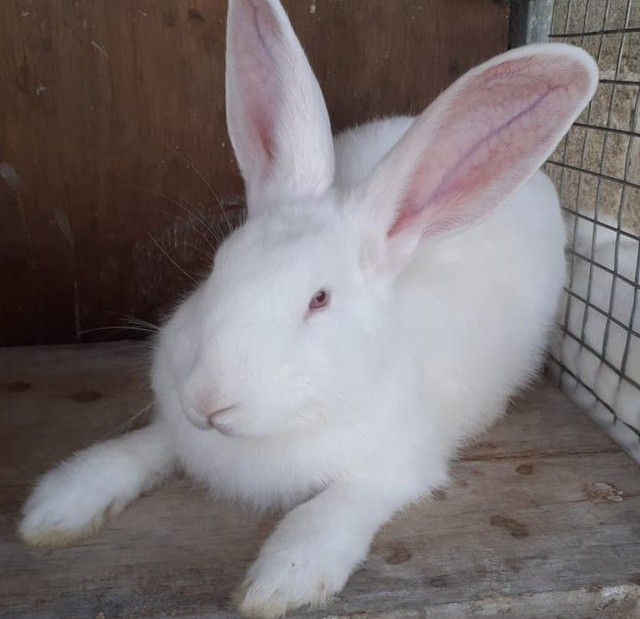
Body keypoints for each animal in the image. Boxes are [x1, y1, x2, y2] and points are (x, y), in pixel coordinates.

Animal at [20, 2, 600, 616]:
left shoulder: (394, 470)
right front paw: (57, 506)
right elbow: (135, 452)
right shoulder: (175, 431)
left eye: (319, 299)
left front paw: (278, 584)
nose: (206, 399)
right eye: (217, 267)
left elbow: (325, 515)